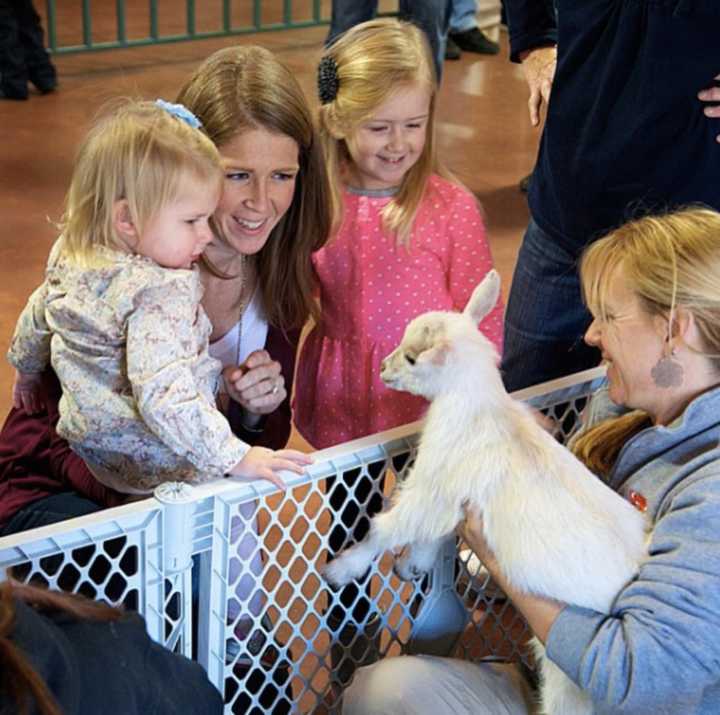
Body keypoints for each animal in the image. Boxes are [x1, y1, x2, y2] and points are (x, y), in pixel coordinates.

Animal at [324, 270, 648, 715]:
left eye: (413, 358)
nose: (385, 370)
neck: (479, 410)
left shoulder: (433, 488)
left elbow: (388, 528)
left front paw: (341, 570)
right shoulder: (452, 503)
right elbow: (435, 535)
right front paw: (412, 566)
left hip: (571, 679)